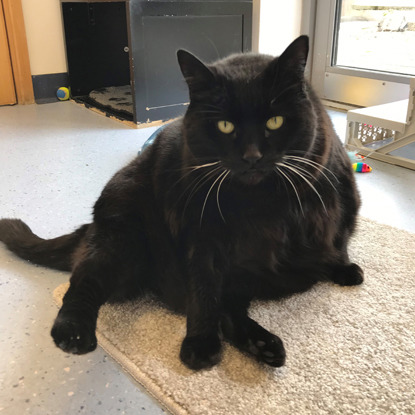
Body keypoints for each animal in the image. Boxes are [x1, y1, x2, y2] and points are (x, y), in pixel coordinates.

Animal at [0, 36, 364, 370]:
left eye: (274, 121)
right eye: (225, 125)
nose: (251, 156)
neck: (261, 206)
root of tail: (93, 224)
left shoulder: (342, 201)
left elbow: (339, 239)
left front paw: (343, 266)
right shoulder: (202, 232)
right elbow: (203, 290)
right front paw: (200, 343)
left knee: (230, 307)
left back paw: (265, 345)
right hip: (121, 232)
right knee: (85, 279)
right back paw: (73, 331)